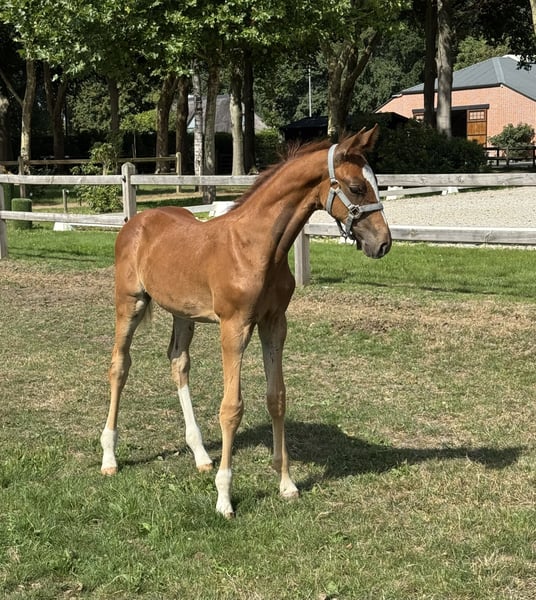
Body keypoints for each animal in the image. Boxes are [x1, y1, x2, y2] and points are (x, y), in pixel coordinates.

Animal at [100, 125, 391, 517]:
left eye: (377, 183)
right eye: (357, 187)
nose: (383, 243)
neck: (256, 247)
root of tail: (136, 221)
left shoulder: (274, 323)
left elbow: (277, 397)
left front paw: (286, 483)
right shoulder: (233, 327)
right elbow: (231, 408)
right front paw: (224, 498)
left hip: (183, 314)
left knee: (178, 362)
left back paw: (201, 455)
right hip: (129, 302)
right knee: (120, 365)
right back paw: (109, 458)